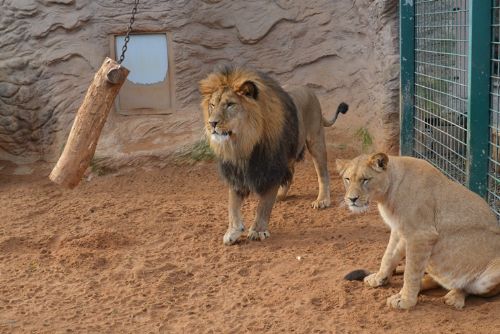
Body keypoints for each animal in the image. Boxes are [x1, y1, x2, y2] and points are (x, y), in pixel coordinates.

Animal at [199, 66, 348, 244]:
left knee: (323, 173)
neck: (243, 143)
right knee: (290, 173)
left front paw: (258, 230)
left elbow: (264, 205)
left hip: (315, 140)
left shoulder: (271, 167)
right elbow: (232, 206)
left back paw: (322, 200)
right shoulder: (236, 173)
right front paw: (233, 231)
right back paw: (281, 195)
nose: (212, 123)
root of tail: (308, 90)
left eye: (230, 105)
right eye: (212, 105)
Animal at [336, 154, 500, 310]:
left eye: (365, 180)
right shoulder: (399, 231)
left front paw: (406, 301)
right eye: (347, 179)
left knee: (467, 288)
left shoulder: (421, 235)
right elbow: (388, 256)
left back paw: (453, 297)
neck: (388, 196)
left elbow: (411, 272)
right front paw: (379, 278)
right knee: (433, 280)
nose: (351, 199)